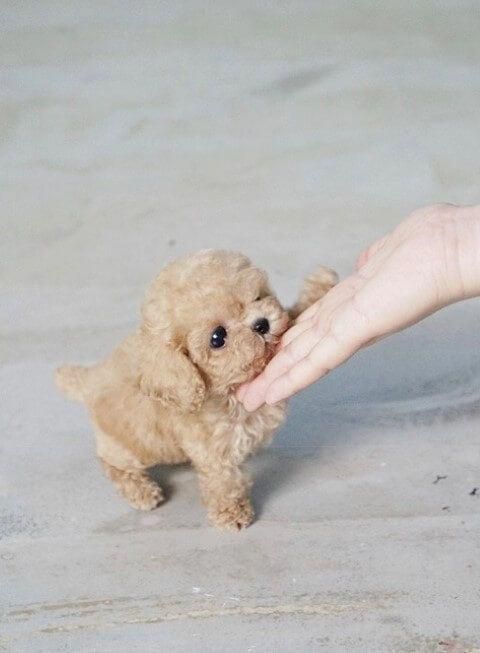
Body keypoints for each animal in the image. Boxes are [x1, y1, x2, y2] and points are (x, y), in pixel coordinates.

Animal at [56, 250, 338, 528]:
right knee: (111, 462)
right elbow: (224, 482)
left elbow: (295, 315)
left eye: (258, 297)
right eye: (218, 338)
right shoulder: (215, 453)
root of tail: (90, 379)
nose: (261, 324)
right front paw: (232, 513)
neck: (227, 390)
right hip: (132, 448)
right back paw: (140, 491)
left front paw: (321, 286)